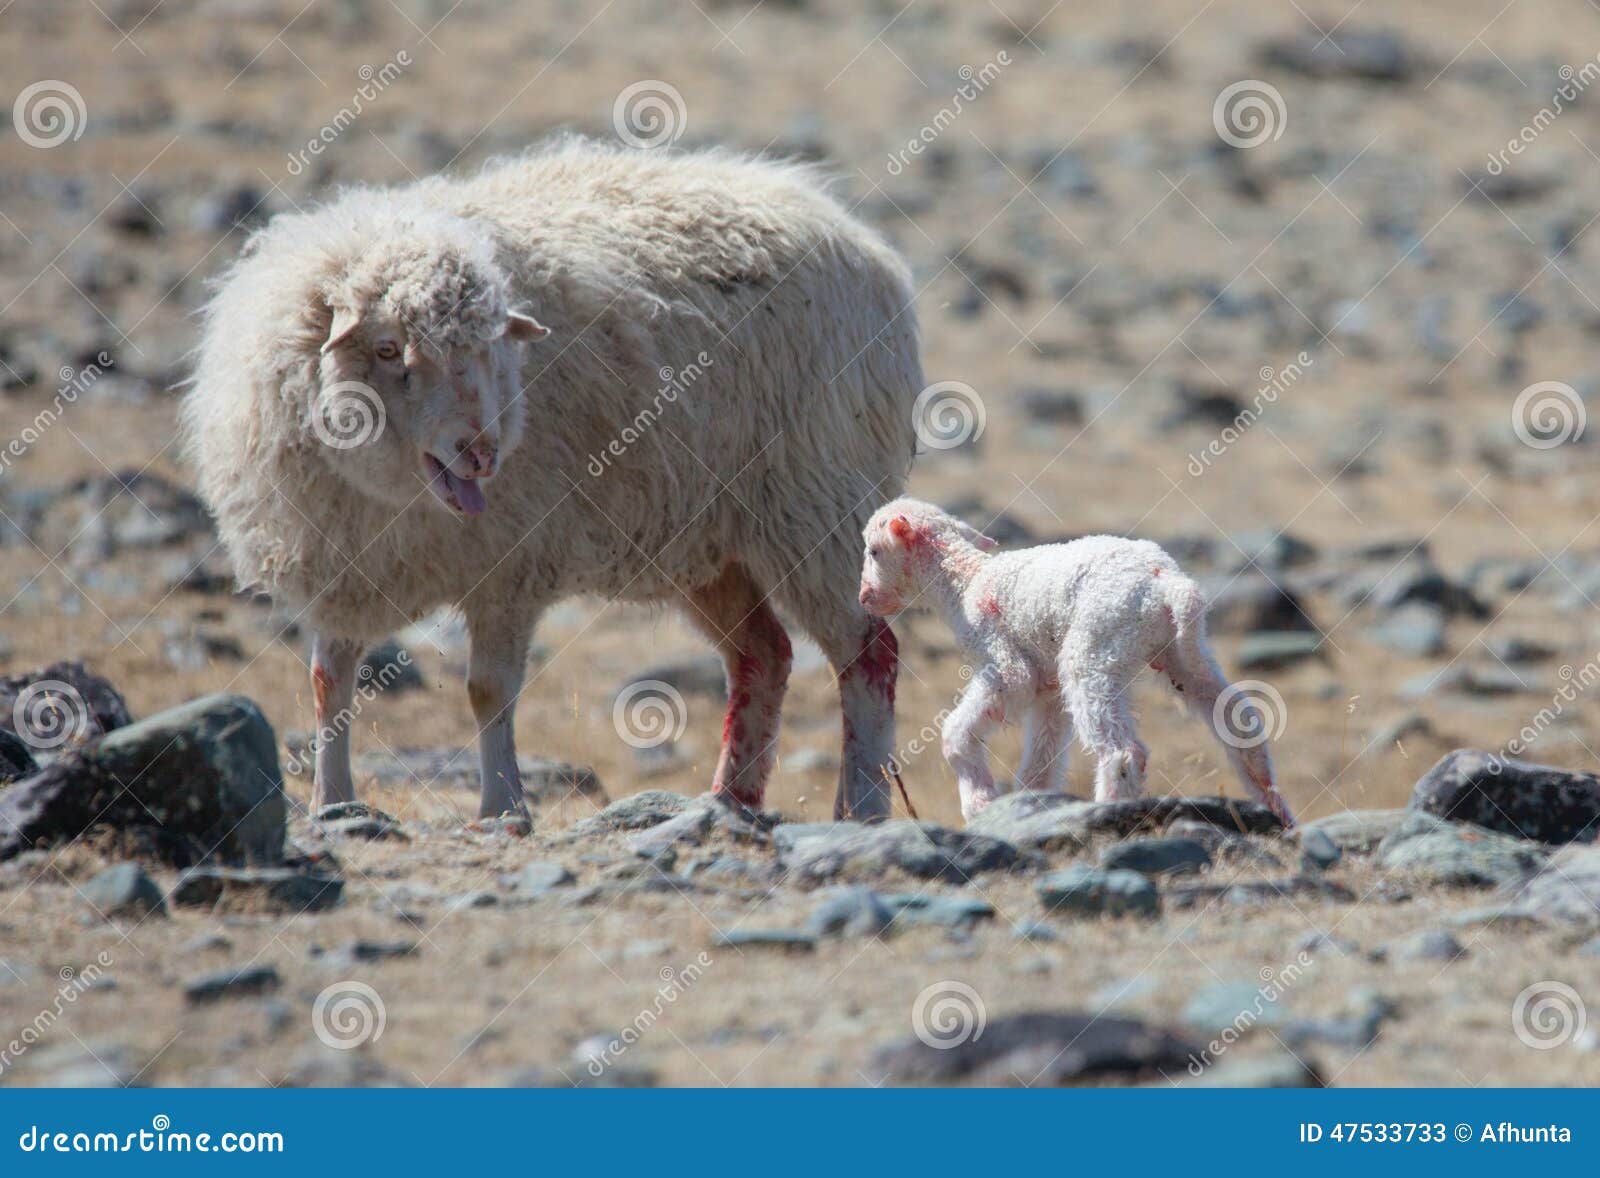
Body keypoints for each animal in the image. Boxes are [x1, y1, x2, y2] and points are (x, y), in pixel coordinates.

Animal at [183, 137, 921, 821]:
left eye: (493, 349)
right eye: (390, 349)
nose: (482, 452)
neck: (395, 496)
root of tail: (864, 245)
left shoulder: (509, 566)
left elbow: (487, 690)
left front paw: (502, 808)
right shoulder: (342, 567)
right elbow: (328, 686)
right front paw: (331, 802)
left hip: (816, 503)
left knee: (867, 653)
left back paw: (860, 807)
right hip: (711, 540)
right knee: (762, 655)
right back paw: (728, 800)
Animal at [857, 498, 1296, 826]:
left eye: (874, 551)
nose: (864, 597)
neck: (963, 581)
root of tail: (1168, 583)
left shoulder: (1005, 665)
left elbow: (957, 732)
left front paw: (979, 804)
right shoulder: (1048, 689)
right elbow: (1041, 761)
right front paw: (1025, 805)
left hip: (1094, 647)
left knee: (1123, 752)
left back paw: (1107, 809)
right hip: (1180, 652)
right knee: (1239, 723)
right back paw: (1276, 810)